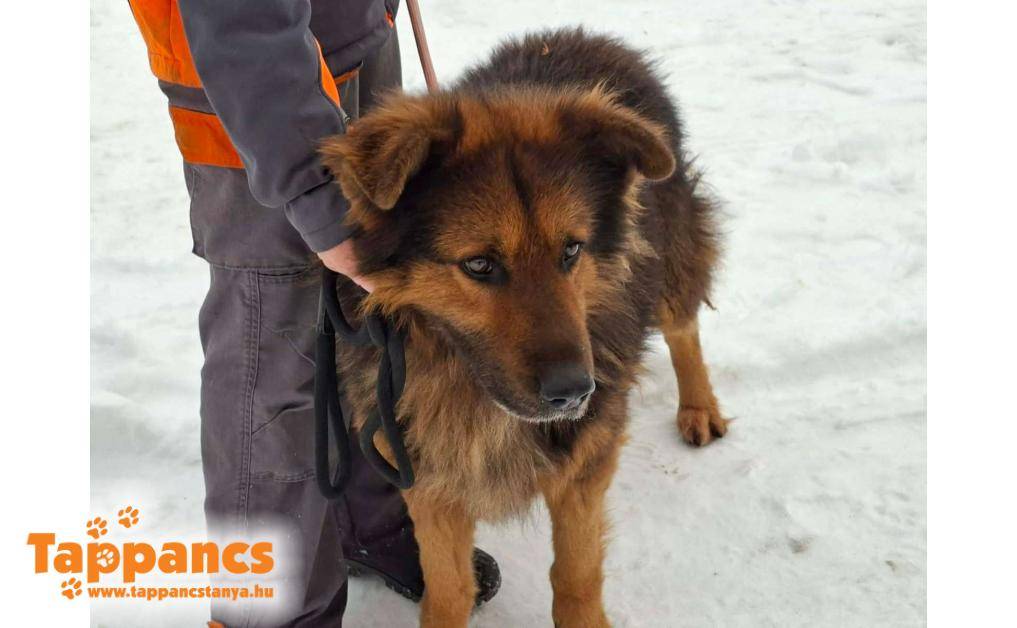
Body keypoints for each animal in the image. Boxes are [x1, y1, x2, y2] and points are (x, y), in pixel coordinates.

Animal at [321, 27, 727, 628]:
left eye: (572, 251)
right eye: (479, 264)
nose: (573, 393)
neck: (467, 386)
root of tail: (583, 35)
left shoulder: (584, 460)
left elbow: (576, 577)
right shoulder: (426, 471)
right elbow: (449, 588)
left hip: (672, 253)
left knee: (683, 326)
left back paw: (698, 408)